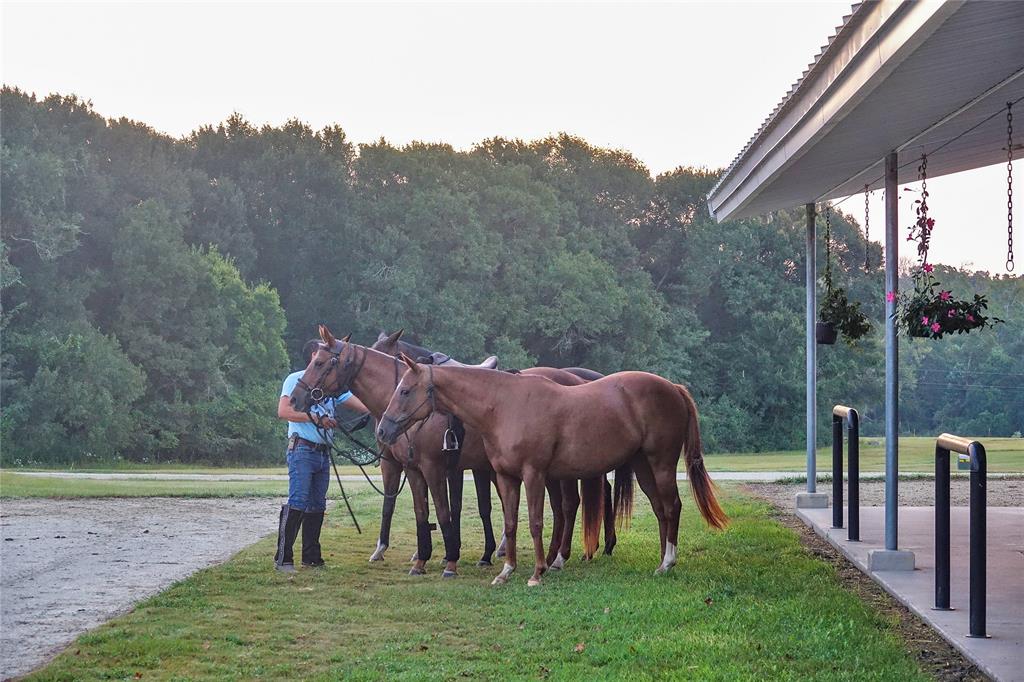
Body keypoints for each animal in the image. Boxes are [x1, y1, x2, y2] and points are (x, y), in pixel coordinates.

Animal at [378, 350, 729, 585]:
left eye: (405, 390)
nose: (383, 431)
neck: (504, 405)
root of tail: (674, 388)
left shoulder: (533, 474)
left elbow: (535, 523)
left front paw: (537, 572)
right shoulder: (506, 477)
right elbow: (510, 523)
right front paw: (506, 571)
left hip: (661, 464)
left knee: (673, 506)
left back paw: (668, 561)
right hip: (643, 466)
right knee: (660, 510)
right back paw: (660, 562)